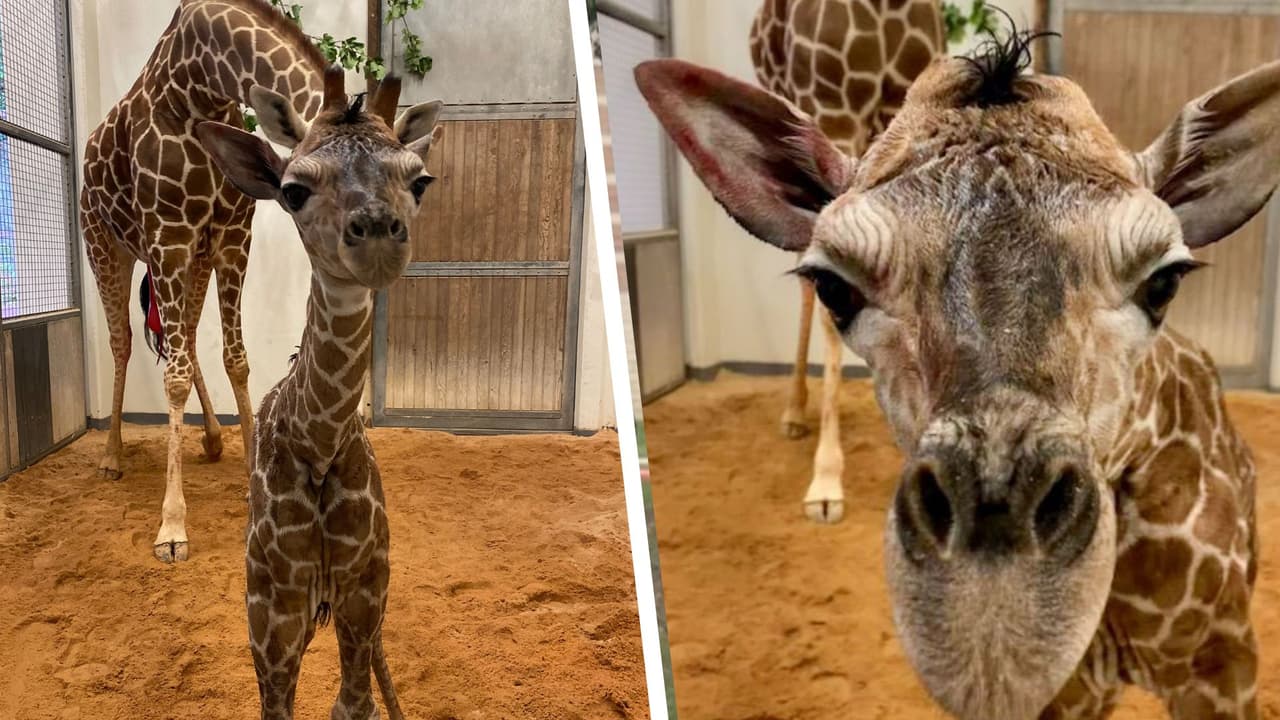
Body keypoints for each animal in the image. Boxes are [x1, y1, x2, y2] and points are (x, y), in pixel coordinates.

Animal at [80, 0, 327, 563]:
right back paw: (111, 457)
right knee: (124, 341)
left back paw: (213, 439)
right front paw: (172, 528)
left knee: (186, 341)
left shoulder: (232, 234)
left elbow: (235, 360)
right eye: (300, 192)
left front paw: (252, 483)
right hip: (106, 245)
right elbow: (171, 375)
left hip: (191, 259)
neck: (204, 86)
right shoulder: (169, 232)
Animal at [197, 66, 442, 719]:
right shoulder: (271, 614)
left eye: (421, 180)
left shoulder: (364, 593)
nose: (379, 235)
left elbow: (355, 706)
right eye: (293, 190)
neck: (319, 444)